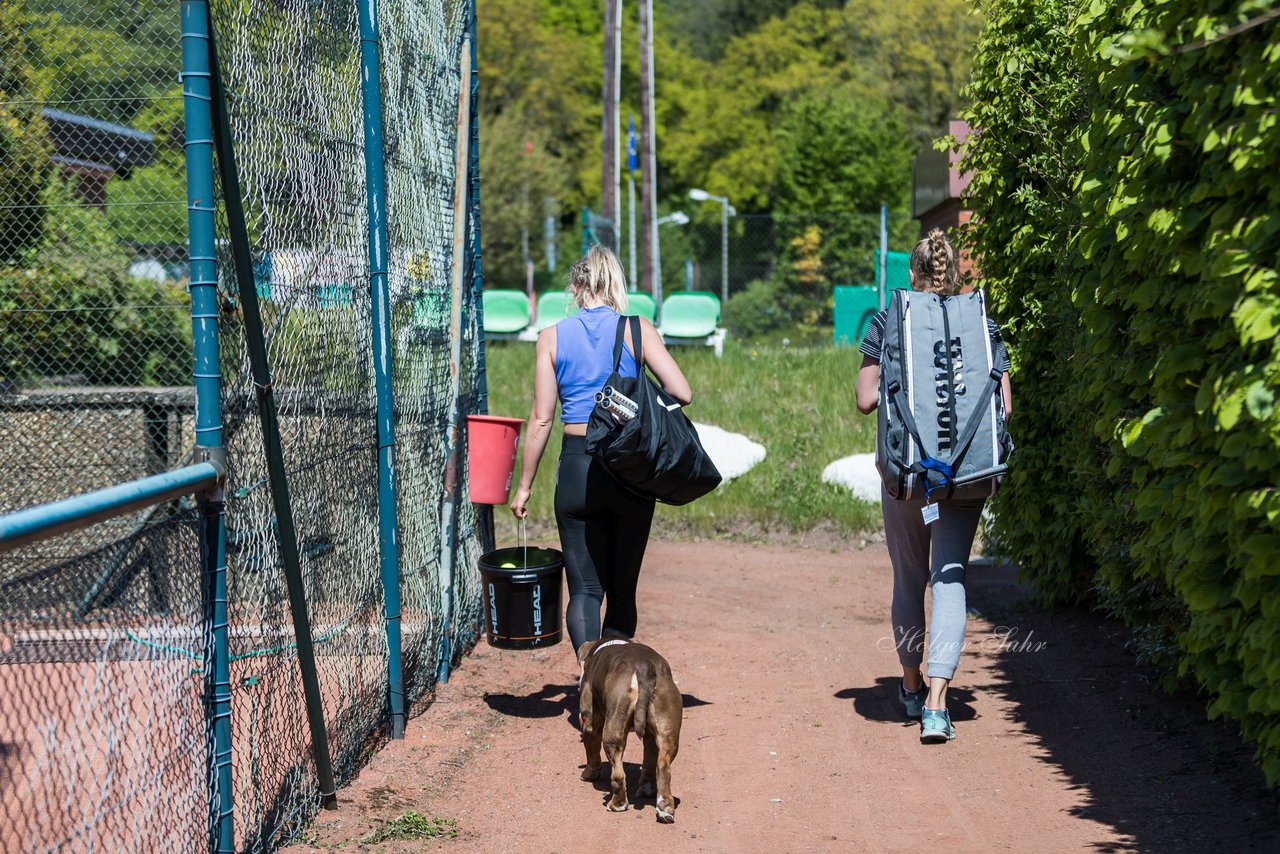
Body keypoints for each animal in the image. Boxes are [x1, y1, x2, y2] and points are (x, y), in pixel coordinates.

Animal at [578, 637, 680, 824]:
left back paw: (617, 804)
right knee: (662, 766)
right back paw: (661, 805)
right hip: (667, 729)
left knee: (618, 773)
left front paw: (589, 773)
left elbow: (591, 752)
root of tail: (644, 666)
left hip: (613, 728)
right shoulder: (649, 736)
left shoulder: (590, 724)